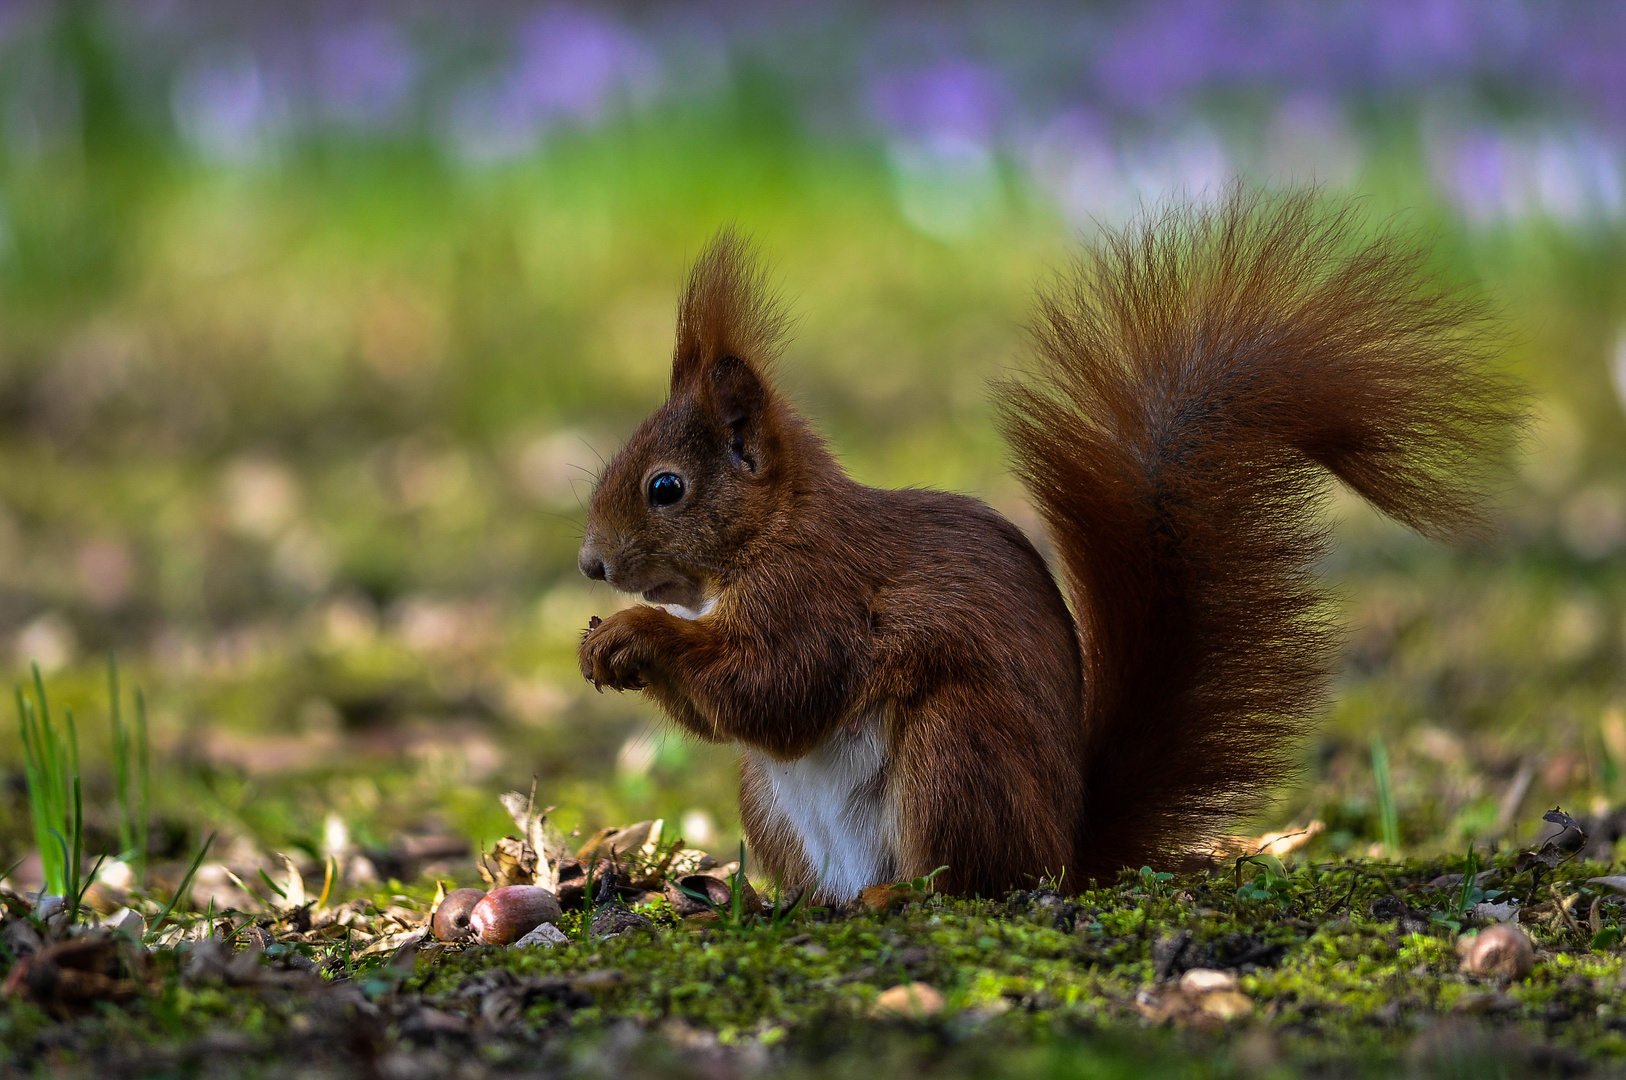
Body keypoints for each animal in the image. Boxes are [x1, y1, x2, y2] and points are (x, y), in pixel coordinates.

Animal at [578, 189, 1515, 897]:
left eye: (666, 488)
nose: (592, 564)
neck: (770, 536)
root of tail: (1065, 853)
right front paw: (603, 646)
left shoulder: (822, 594)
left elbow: (778, 686)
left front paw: (635, 633)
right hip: (774, 803)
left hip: (955, 752)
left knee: (968, 883)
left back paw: (899, 896)